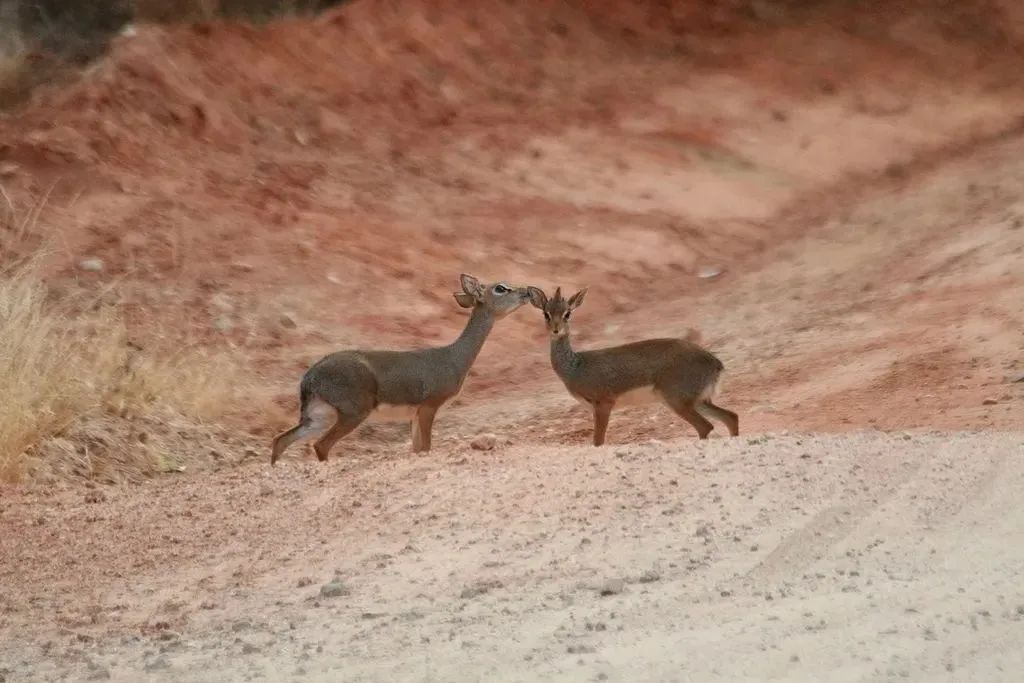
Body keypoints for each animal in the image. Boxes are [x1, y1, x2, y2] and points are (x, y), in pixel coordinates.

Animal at [268, 274, 532, 464]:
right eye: (500, 288)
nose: (527, 292)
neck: (454, 358)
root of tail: (309, 377)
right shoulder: (429, 406)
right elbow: (426, 448)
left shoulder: (415, 414)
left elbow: (417, 448)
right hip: (354, 412)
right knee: (320, 444)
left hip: (319, 416)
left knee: (281, 440)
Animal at [528, 286, 737, 446]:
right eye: (546, 313)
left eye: (567, 313)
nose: (556, 330)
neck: (575, 367)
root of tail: (715, 362)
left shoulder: (604, 403)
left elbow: (598, 441)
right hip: (698, 400)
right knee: (731, 416)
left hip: (678, 401)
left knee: (706, 426)